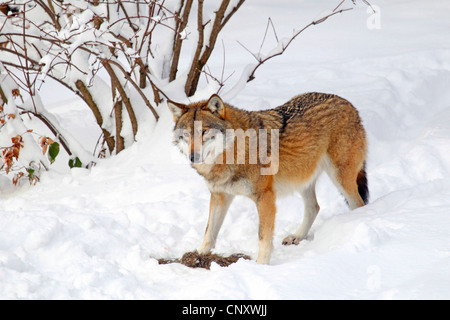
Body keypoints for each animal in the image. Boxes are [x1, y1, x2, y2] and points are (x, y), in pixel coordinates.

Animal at [167, 91, 368, 264]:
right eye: (186, 134)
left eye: (204, 131)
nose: (193, 157)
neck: (234, 153)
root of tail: (347, 103)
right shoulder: (219, 196)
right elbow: (209, 231)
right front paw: (199, 255)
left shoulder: (265, 197)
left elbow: (263, 238)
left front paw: (261, 265)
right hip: (303, 179)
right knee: (314, 207)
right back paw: (297, 237)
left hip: (340, 177)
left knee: (358, 204)